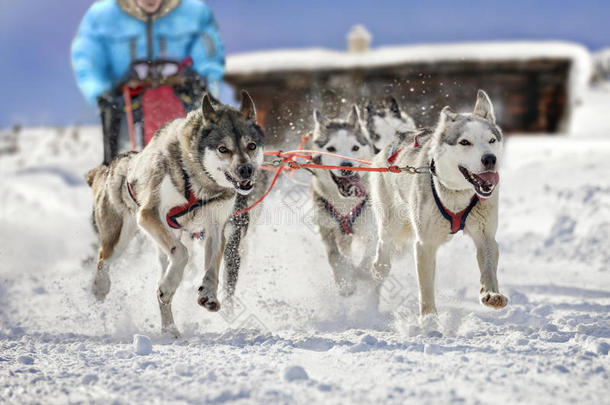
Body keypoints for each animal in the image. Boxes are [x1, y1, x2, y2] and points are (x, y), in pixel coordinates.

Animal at [85, 91, 264, 334]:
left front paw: (208, 293)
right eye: (223, 149)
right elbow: (182, 253)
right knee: (104, 258)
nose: (246, 170)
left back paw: (170, 330)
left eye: (251, 146)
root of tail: (111, 167)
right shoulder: (149, 214)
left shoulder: (217, 228)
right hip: (121, 236)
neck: (200, 182)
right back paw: (102, 286)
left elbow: (212, 269)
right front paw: (172, 284)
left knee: (162, 292)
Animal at [368, 90, 506, 314]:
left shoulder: (486, 236)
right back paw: (379, 268)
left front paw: (491, 294)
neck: (457, 194)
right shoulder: (426, 244)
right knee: (384, 243)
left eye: (492, 140)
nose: (490, 159)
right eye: (465, 142)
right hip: (391, 219)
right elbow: (426, 291)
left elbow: (488, 267)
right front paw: (429, 320)